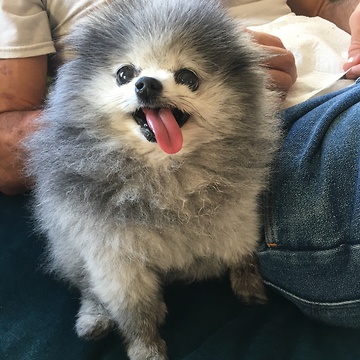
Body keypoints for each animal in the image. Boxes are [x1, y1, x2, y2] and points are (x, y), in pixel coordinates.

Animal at [26, 0, 280, 360]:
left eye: (187, 77)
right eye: (124, 74)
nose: (146, 83)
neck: (166, 173)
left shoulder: (236, 220)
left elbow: (241, 254)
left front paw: (250, 284)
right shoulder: (115, 257)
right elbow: (136, 311)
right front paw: (146, 347)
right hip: (68, 244)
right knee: (87, 285)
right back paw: (94, 318)